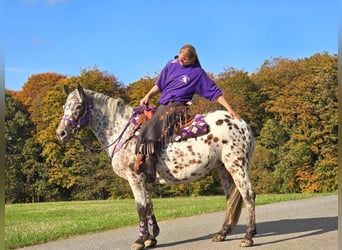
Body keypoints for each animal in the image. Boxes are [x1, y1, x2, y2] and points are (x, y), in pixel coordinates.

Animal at [54, 85, 255, 249]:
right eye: (65, 107)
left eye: (78, 107)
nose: (61, 133)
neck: (123, 132)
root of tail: (242, 123)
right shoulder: (142, 179)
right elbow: (149, 205)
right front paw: (151, 238)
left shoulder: (134, 178)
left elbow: (141, 207)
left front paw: (140, 240)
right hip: (223, 168)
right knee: (231, 197)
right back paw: (222, 233)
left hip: (237, 165)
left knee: (248, 195)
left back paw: (248, 236)